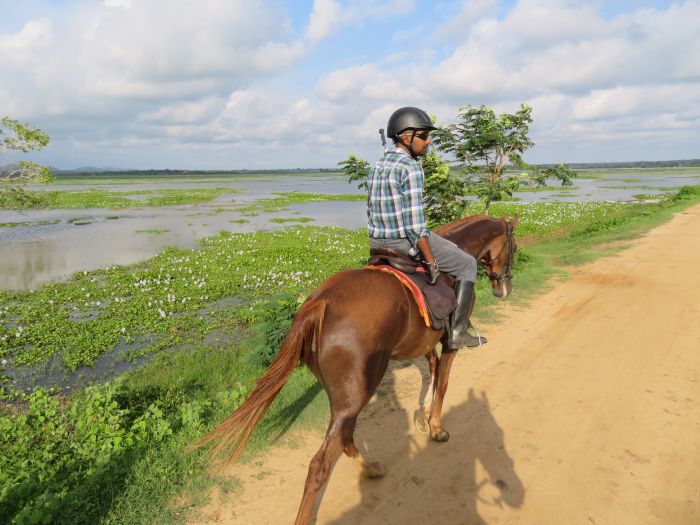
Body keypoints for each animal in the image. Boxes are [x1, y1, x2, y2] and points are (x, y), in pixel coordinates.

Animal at [194, 212, 516, 520]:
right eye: (512, 247)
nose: (504, 287)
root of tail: (318, 304)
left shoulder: (425, 344)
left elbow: (432, 375)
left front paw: (422, 418)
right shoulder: (449, 340)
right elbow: (443, 384)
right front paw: (436, 429)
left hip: (344, 396)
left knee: (345, 438)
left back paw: (371, 469)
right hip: (355, 394)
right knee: (320, 465)